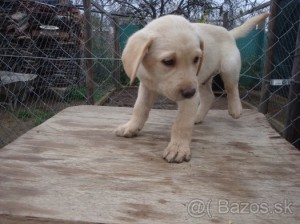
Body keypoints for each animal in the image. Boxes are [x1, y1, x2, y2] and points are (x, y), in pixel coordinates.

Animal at [115, 13, 270, 163]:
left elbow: (182, 123)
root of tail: (228, 32)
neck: (156, 78)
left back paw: (235, 109)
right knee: (209, 97)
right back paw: (197, 116)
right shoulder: (146, 86)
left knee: (232, 88)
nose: (190, 92)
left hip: (229, 68)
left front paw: (178, 148)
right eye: (168, 61)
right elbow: (139, 108)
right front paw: (131, 127)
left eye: (196, 59)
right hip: (202, 80)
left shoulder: (190, 98)